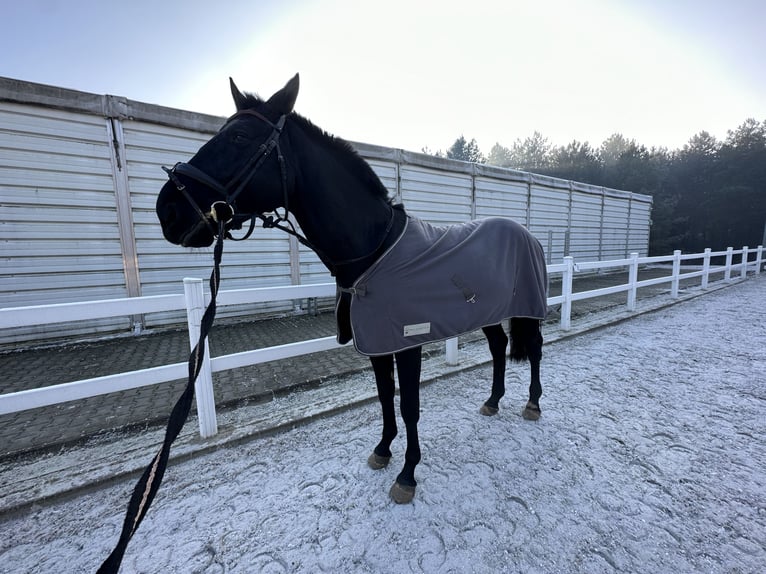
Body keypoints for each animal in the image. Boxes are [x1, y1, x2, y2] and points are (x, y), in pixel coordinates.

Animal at [156, 74, 547, 504]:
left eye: (240, 136)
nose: (167, 210)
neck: (373, 249)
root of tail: (526, 233)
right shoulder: (377, 342)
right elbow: (385, 396)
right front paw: (383, 451)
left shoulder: (407, 343)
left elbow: (409, 406)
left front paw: (407, 475)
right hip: (488, 311)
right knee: (498, 346)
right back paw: (493, 401)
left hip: (528, 308)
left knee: (535, 349)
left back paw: (532, 404)